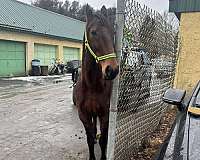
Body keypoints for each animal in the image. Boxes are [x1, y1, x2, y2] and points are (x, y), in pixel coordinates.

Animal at [74, 5, 119, 160]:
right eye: (93, 32)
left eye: (113, 32)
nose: (112, 70)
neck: (92, 85)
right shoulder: (83, 115)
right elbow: (89, 138)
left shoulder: (105, 115)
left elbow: (104, 140)